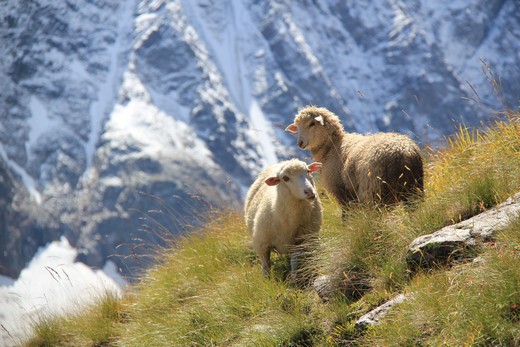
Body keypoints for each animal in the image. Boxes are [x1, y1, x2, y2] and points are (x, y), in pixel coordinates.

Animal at [286, 106, 424, 209]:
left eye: (312, 123)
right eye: (297, 127)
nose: (300, 143)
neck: (332, 146)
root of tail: (402, 153)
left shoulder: (341, 191)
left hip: (372, 189)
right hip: (413, 189)